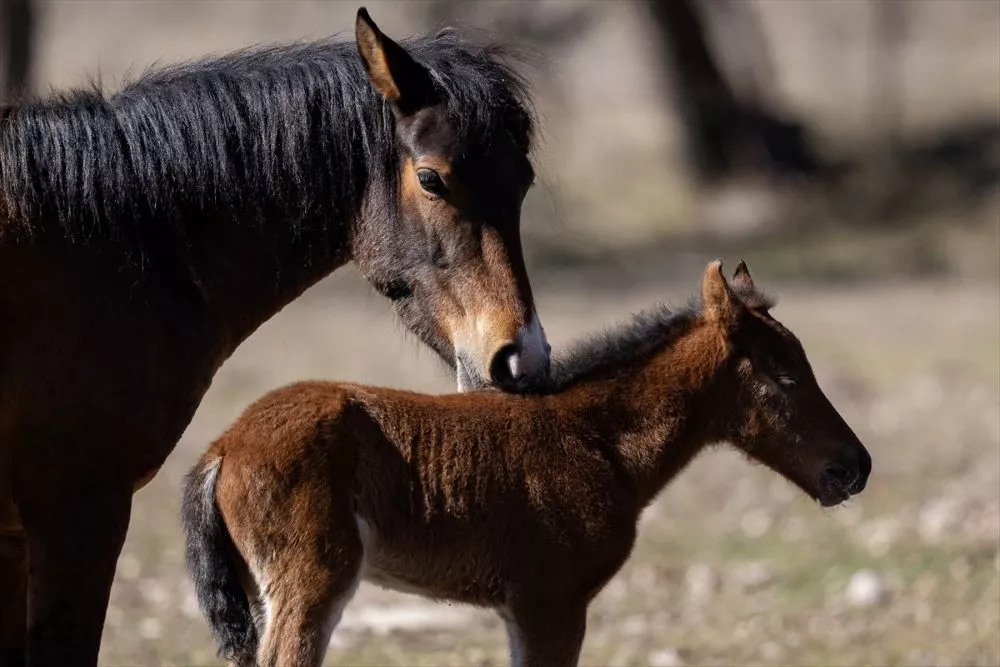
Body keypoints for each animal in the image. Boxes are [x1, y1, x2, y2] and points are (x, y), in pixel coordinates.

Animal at [184, 262, 872, 667]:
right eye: (785, 373)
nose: (854, 467)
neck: (599, 439)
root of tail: (222, 448)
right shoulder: (552, 603)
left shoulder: (523, 610)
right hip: (311, 584)